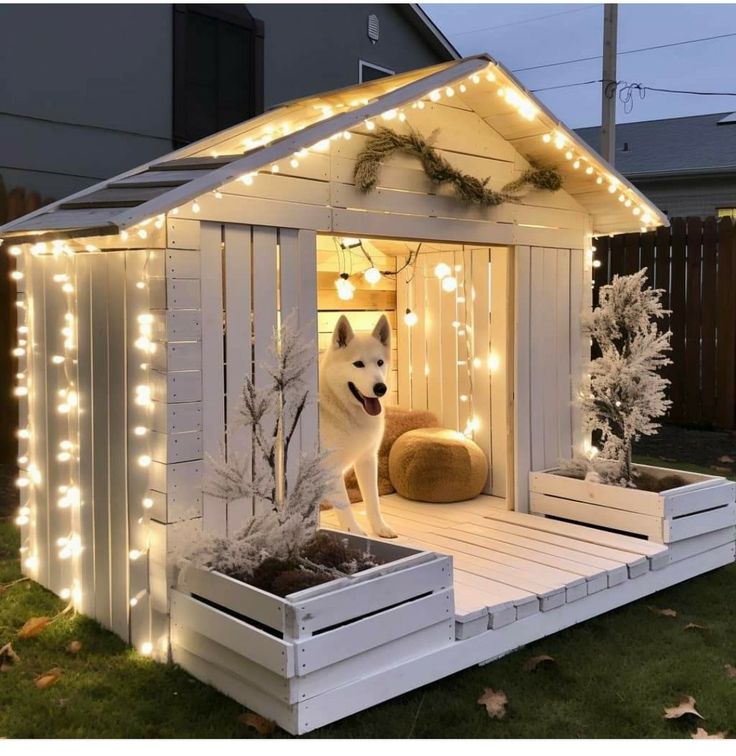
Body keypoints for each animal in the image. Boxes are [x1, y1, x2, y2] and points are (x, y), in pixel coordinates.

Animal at [316, 314, 396, 536]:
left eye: (380, 362)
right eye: (358, 364)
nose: (380, 388)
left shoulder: (367, 460)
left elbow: (373, 501)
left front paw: (380, 528)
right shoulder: (331, 468)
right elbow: (344, 504)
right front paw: (355, 531)